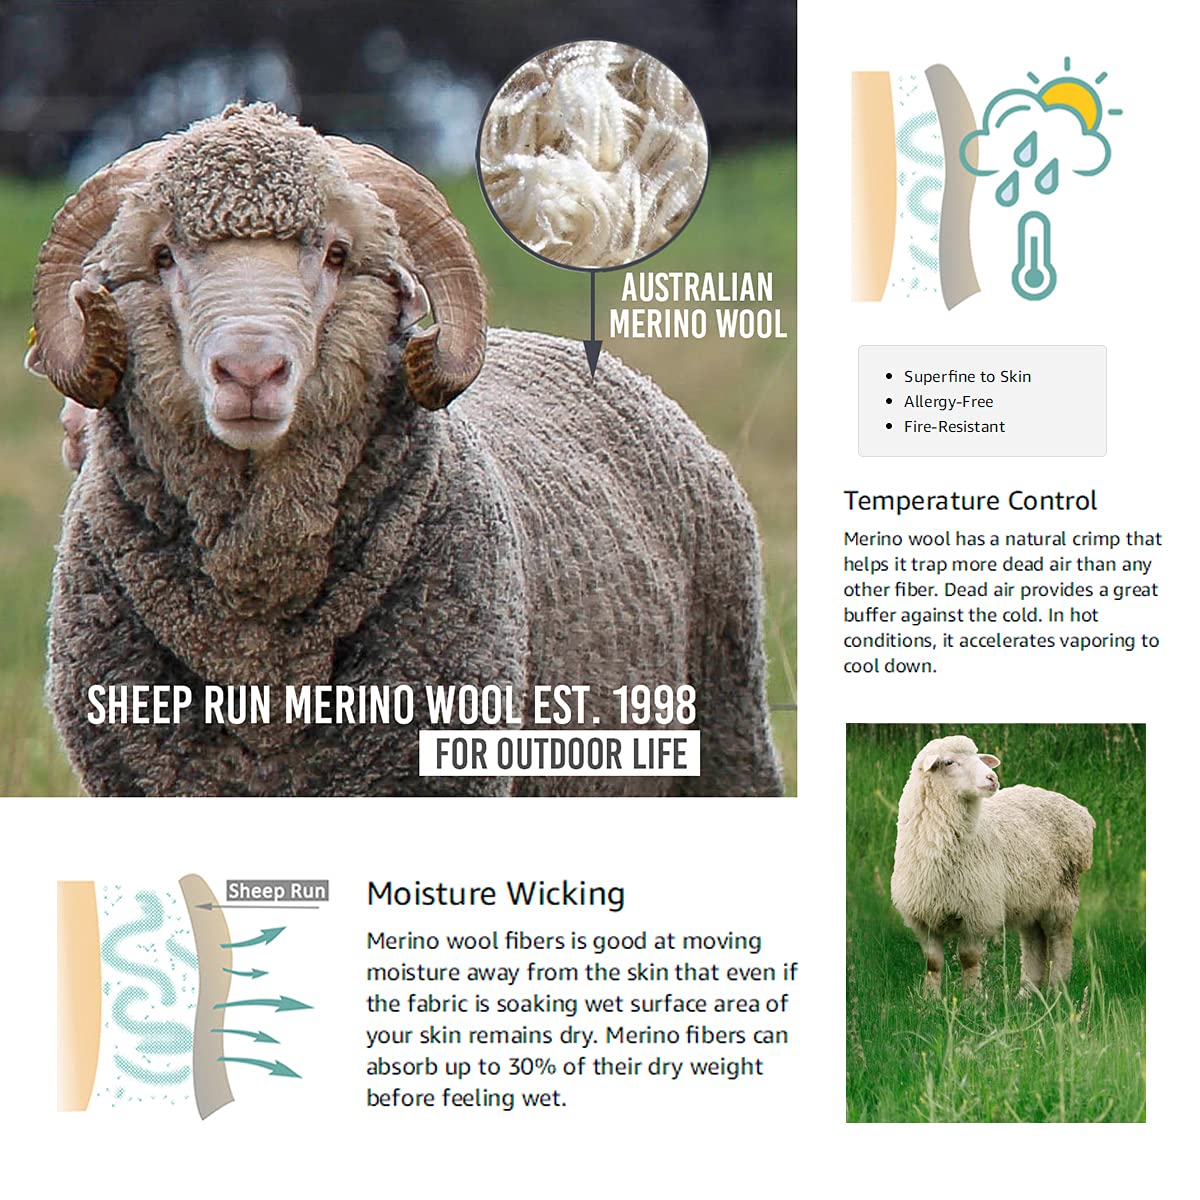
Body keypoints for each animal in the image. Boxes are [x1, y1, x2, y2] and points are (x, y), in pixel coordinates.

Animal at [890, 735, 1094, 995]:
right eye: (948, 762)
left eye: (979, 758)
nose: (992, 778)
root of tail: (1082, 813)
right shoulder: (923, 917)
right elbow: (933, 962)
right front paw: (930, 998)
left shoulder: (977, 911)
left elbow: (969, 958)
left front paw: (972, 997)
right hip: (1031, 897)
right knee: (1034, 939)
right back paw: (1027, 993)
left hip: (1061, 893)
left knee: (1061, 940)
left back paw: (1057, 990)